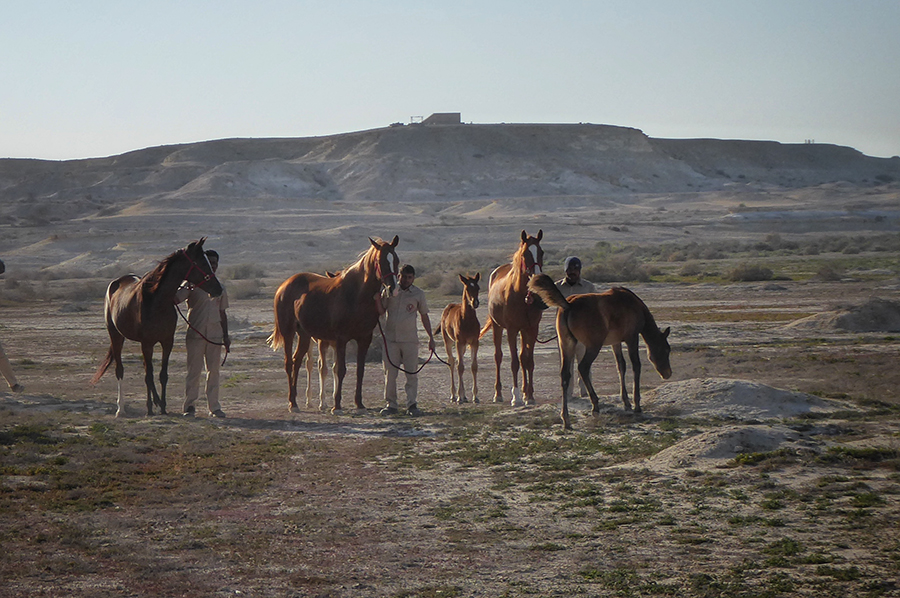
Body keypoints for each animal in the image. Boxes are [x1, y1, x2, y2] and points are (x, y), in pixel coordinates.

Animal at [91, 238, 223, 418]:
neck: (157, 301)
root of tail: (116, 283)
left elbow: (162, 375)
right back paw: (121, 409)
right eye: (202, 262)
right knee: (120, 370)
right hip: (116, 336)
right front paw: (150, 408)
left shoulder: (167, 342)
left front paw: (162, 407)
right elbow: (148, 376)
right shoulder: (147, 343)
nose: (218, 289)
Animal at [268, 237, 400, 414]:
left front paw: (359, 404)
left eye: (396, 260)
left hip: (304, 335)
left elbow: (360, 370)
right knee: (289, 363)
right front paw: (336, 406)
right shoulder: (341, 339)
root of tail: (284, 286)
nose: (393, 289)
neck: (356, 295)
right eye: (380, 261)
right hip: (288, 332)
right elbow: (340, 370)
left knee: (297, 361)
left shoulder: (364, 339)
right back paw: (292, 404)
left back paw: (294, 401)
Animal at [434, 274, 482, 406]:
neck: (467, 320)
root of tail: (448, 307)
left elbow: (474, 366)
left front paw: (475, 397)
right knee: (451, 362)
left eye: (478, 288)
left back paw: (464, 396)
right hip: (449, 341)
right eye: (467, 288)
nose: (475, 303)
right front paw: (459, 398)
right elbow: (460, 367)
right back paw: (454, 395)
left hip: (464, 346)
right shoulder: (459, 342)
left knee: (456, 361)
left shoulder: (474, 342)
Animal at [482, 230, 544, 408]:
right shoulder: (511, 330)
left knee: (523, 357)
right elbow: (514, 362)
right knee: (498, 356)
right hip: (497, 327)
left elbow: (528, 361)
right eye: (525, 254)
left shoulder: (532, 328)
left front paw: (529, 396)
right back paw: (498, 394)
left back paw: (524, 392)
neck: (521, 296)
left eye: (542, 252)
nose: (537, 278)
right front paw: (515, 396)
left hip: (524, 330)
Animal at [528, 274, 668, 434]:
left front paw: (626, 402)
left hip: (566, 345)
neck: (635, 306)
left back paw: (566, 419)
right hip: (593, 346)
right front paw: (637, 405)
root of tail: (569, 306)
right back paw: (595, 406)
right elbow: (636, 365)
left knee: (565, 375)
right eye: (667, 349)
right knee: (583, 368)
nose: (667, 373)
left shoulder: (615, 342)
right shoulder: (632, 338)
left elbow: (621, 366)